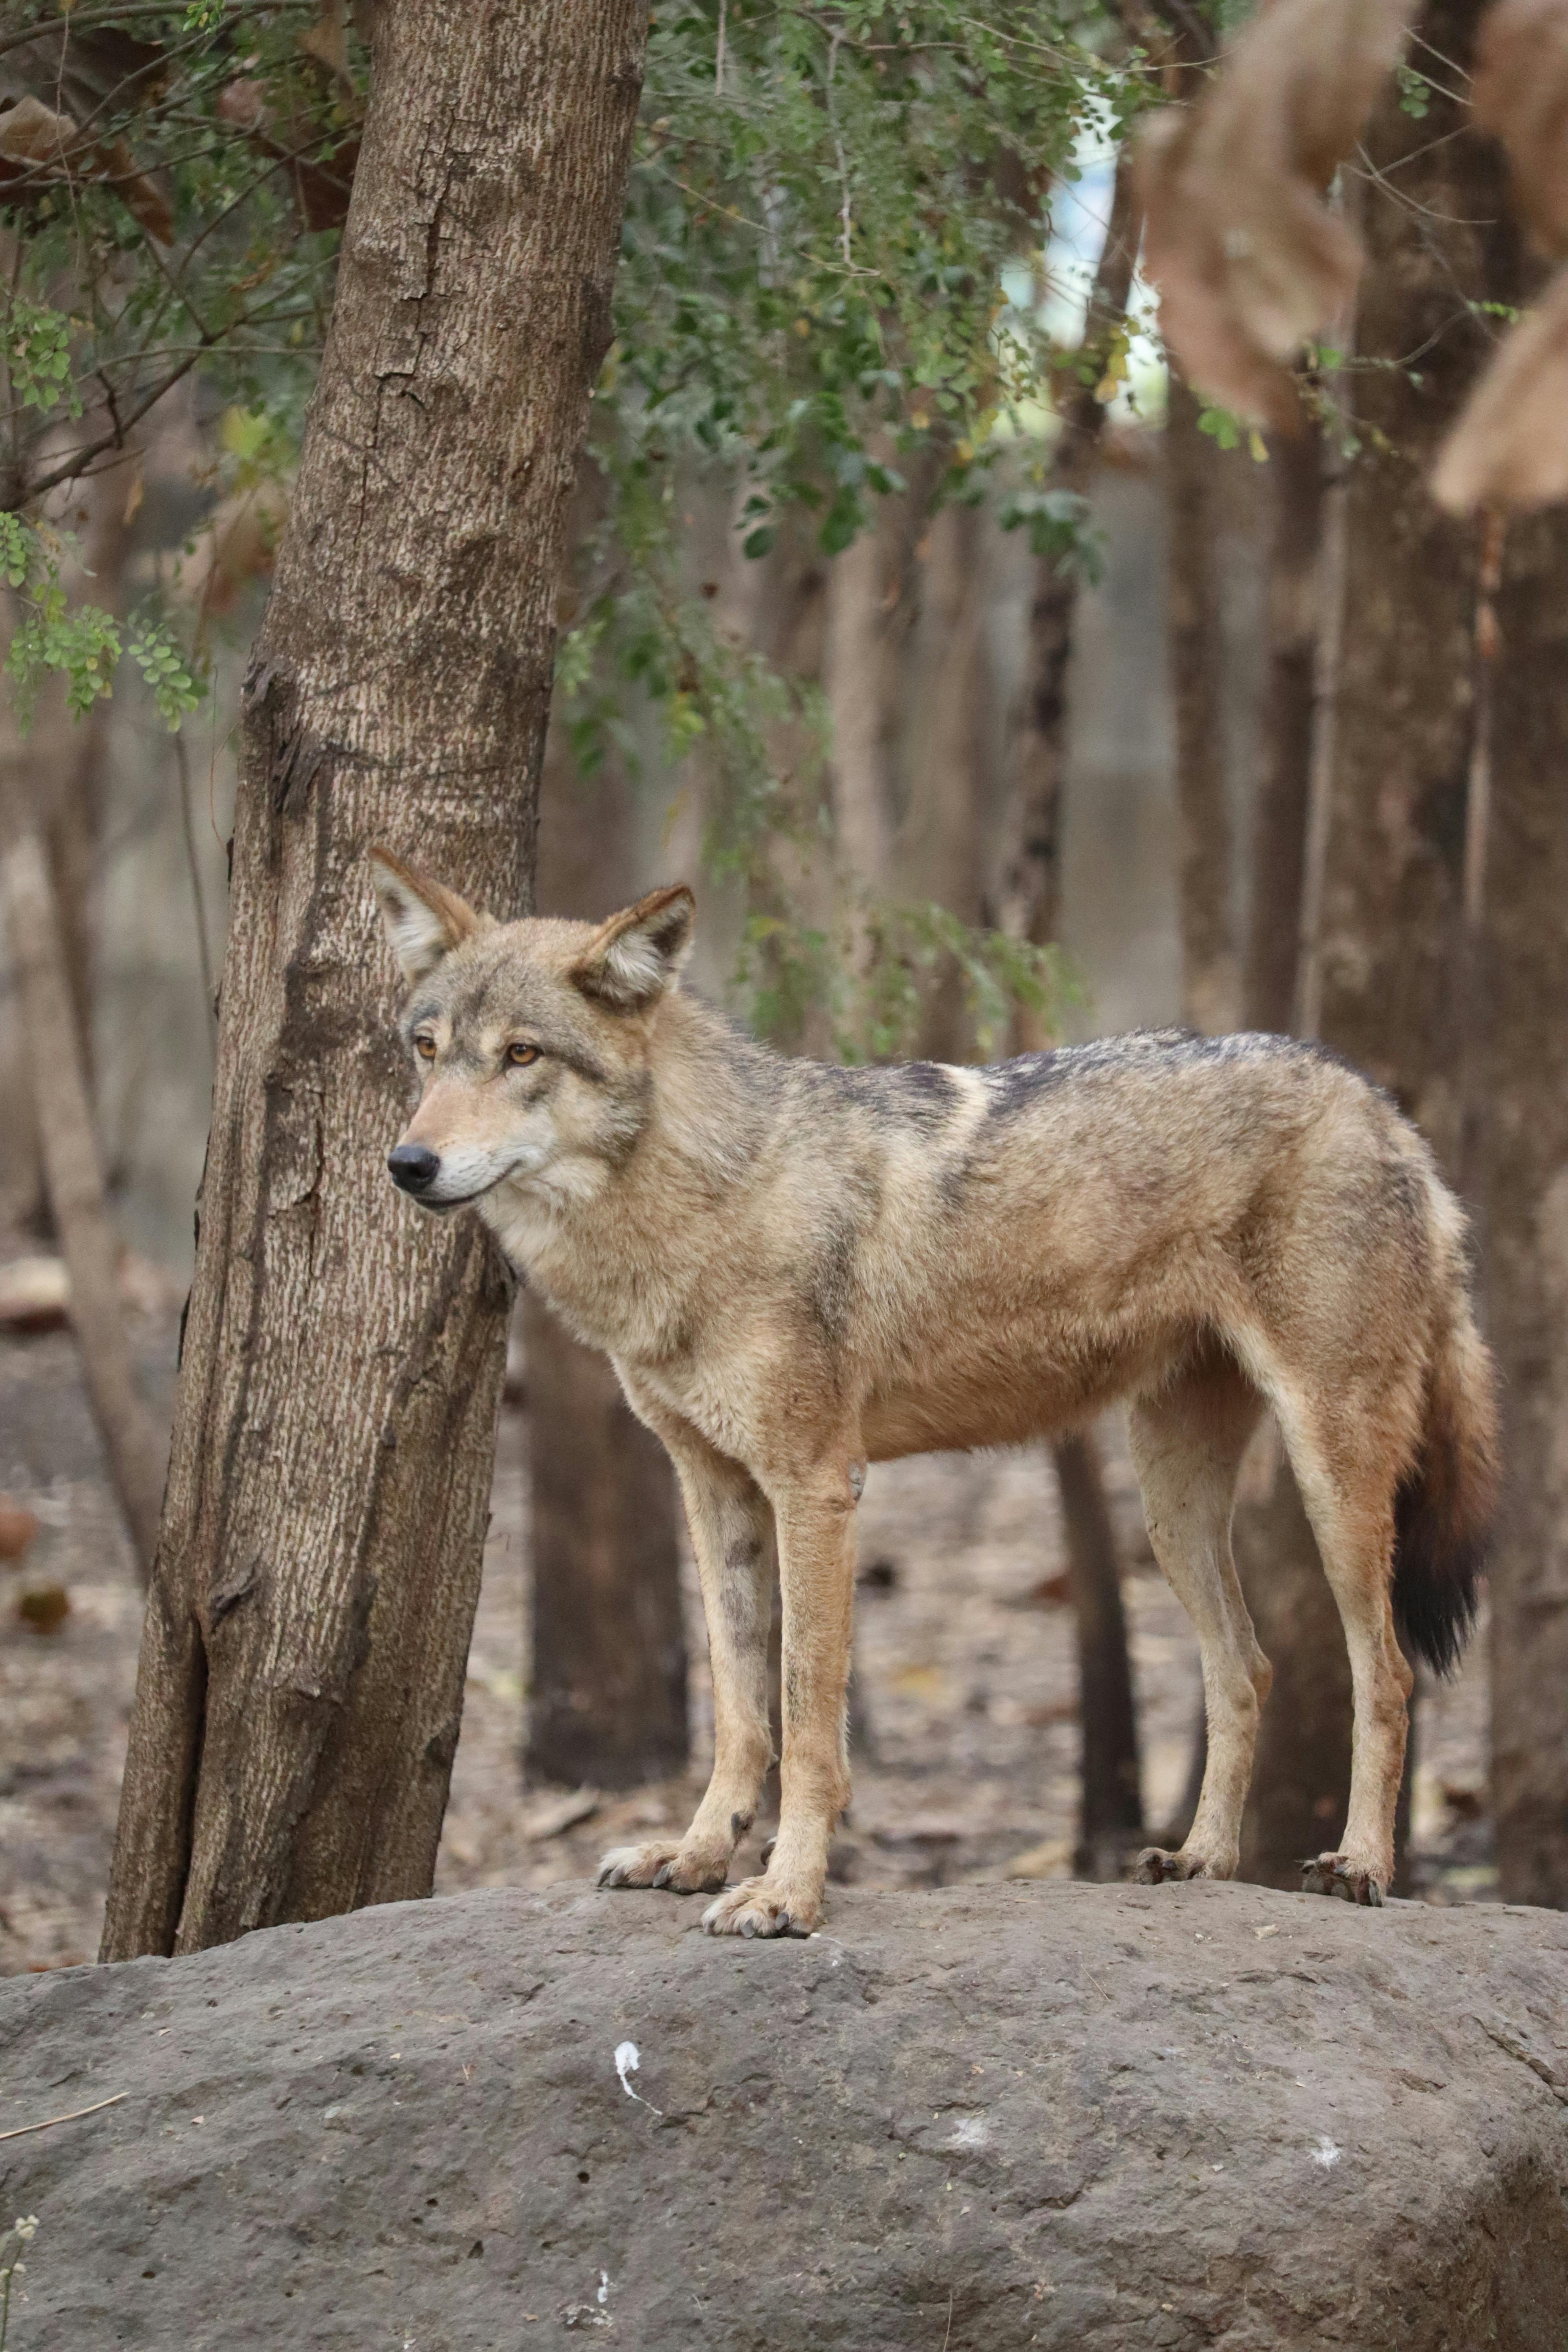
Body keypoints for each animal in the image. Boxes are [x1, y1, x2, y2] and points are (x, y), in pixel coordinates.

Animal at [369, 849, 1499, 1938]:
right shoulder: (714, 1487)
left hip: (1331, 1473)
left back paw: (1360, 1866)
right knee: (1246, 1667)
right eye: (427, 1050)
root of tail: (1381, 1105)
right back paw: (1202, 1860)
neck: (713, 1195)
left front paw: (786, 1895)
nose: (408, 1163)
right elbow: (738, 1708)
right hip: (1171, 1504)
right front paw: (693, 1857)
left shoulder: (817, 1486)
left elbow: (806, 1718)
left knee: (1389, 1673)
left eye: (522, 1056)